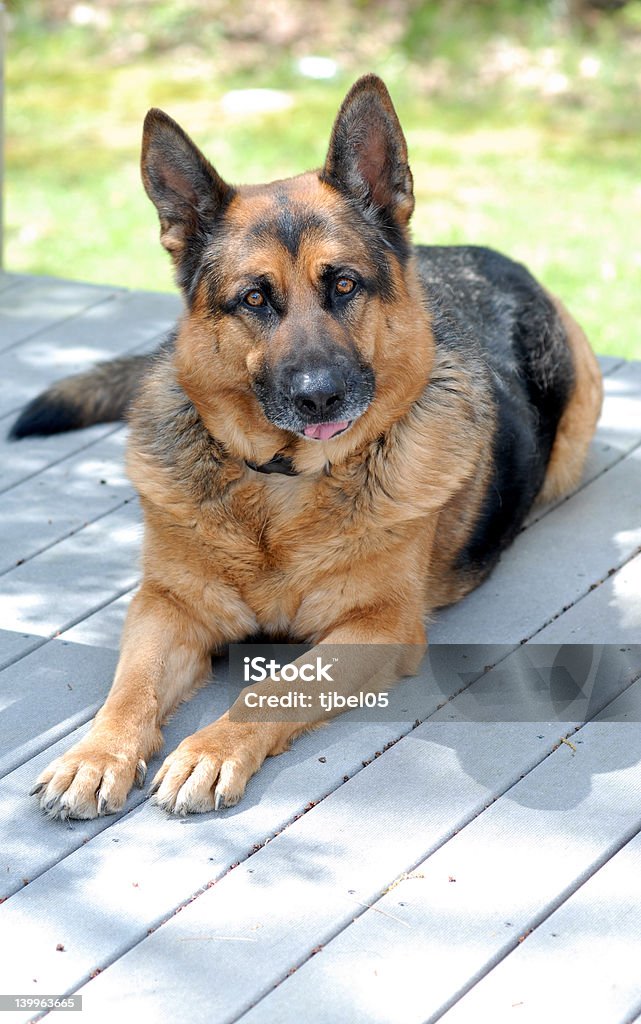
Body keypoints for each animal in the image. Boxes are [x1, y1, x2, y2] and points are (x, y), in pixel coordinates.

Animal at [12, 75, 602, 819]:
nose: (320, 397)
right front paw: (94, 758)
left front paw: (209, 751)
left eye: (343, 284)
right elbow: (128, 693)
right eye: (254, 299)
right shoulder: (166, 606)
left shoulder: (374, 627)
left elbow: (271, 688)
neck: (280, 484)